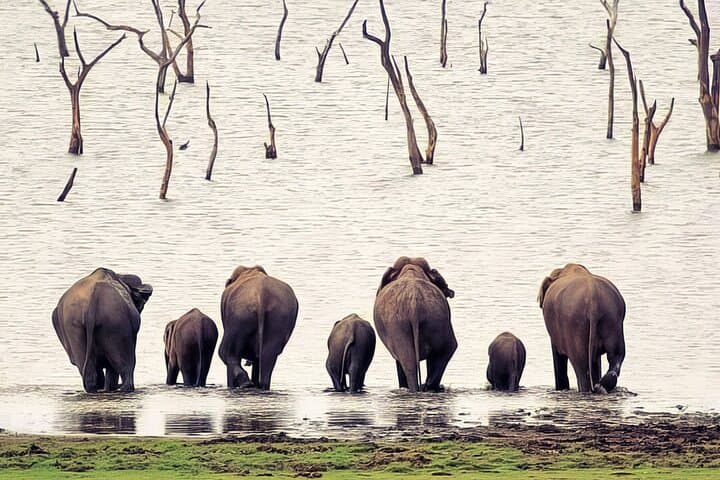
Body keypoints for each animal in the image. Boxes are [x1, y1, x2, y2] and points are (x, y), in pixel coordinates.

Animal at [538, 263, 626, 394]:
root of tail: (594, 301)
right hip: (612, 321)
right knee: (616, 356)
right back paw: (600, 387)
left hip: (575, 326)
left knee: (581, 369)